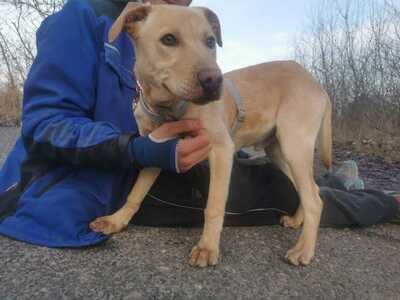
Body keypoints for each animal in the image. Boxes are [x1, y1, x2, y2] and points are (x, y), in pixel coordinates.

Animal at [90, 3, 332, 268]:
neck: (167, 107)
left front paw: (207, 247)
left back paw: (303, 250)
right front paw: (116, 220)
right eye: (168, 39)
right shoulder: (156, 149)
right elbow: (136, 192)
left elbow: (214, 207)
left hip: (294, 145)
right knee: (311, 190)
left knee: (315, 199)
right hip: (278, 151)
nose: (214, 81)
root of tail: (316, 83)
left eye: (210, 41)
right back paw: (298, 221)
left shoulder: (222, 150)